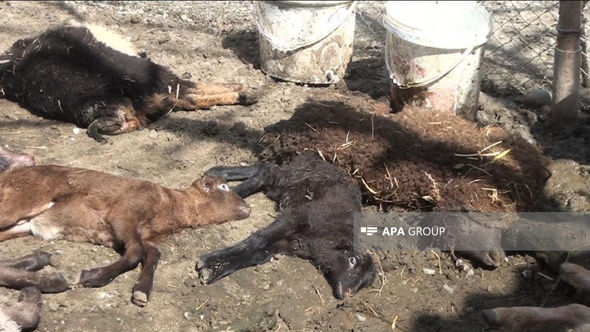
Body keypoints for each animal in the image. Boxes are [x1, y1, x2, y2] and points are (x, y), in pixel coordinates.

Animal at [1, 22, 258, 143]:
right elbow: (193, 89)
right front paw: (241, 90)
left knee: (187, 97)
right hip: (155, 76)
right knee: (189, 91)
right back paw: (242, 93)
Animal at [197, 152, 376, 300]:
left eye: (365, 283)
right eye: (352, 260)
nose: (348, 294)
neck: (331, 237)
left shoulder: (289, 244)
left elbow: (258, 255)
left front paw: (213, 270)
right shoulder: (295, 217)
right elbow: (258, 239)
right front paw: (209, 261)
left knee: (266, 168)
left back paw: (217, 172)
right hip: (291, 178)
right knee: (267, 173)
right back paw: (227, 188)